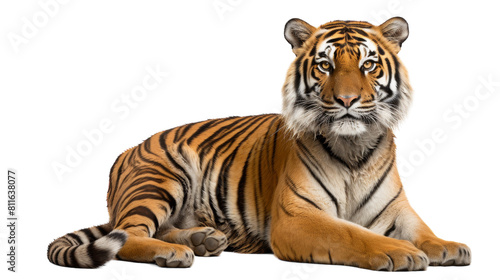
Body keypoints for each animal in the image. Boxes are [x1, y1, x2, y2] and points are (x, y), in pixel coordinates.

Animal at [47, 16, 472, 270]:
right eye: (326, 65)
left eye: (368, 65)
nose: (347, 100)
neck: (353, 148)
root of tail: (127, 150)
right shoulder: (297, 217)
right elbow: (350, 233)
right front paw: (400, 252)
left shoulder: (397, 209)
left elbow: (422, 229)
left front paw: (447, 246)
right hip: (160, 178)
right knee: (130, 235)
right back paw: (176, 251)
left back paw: (203, 239)